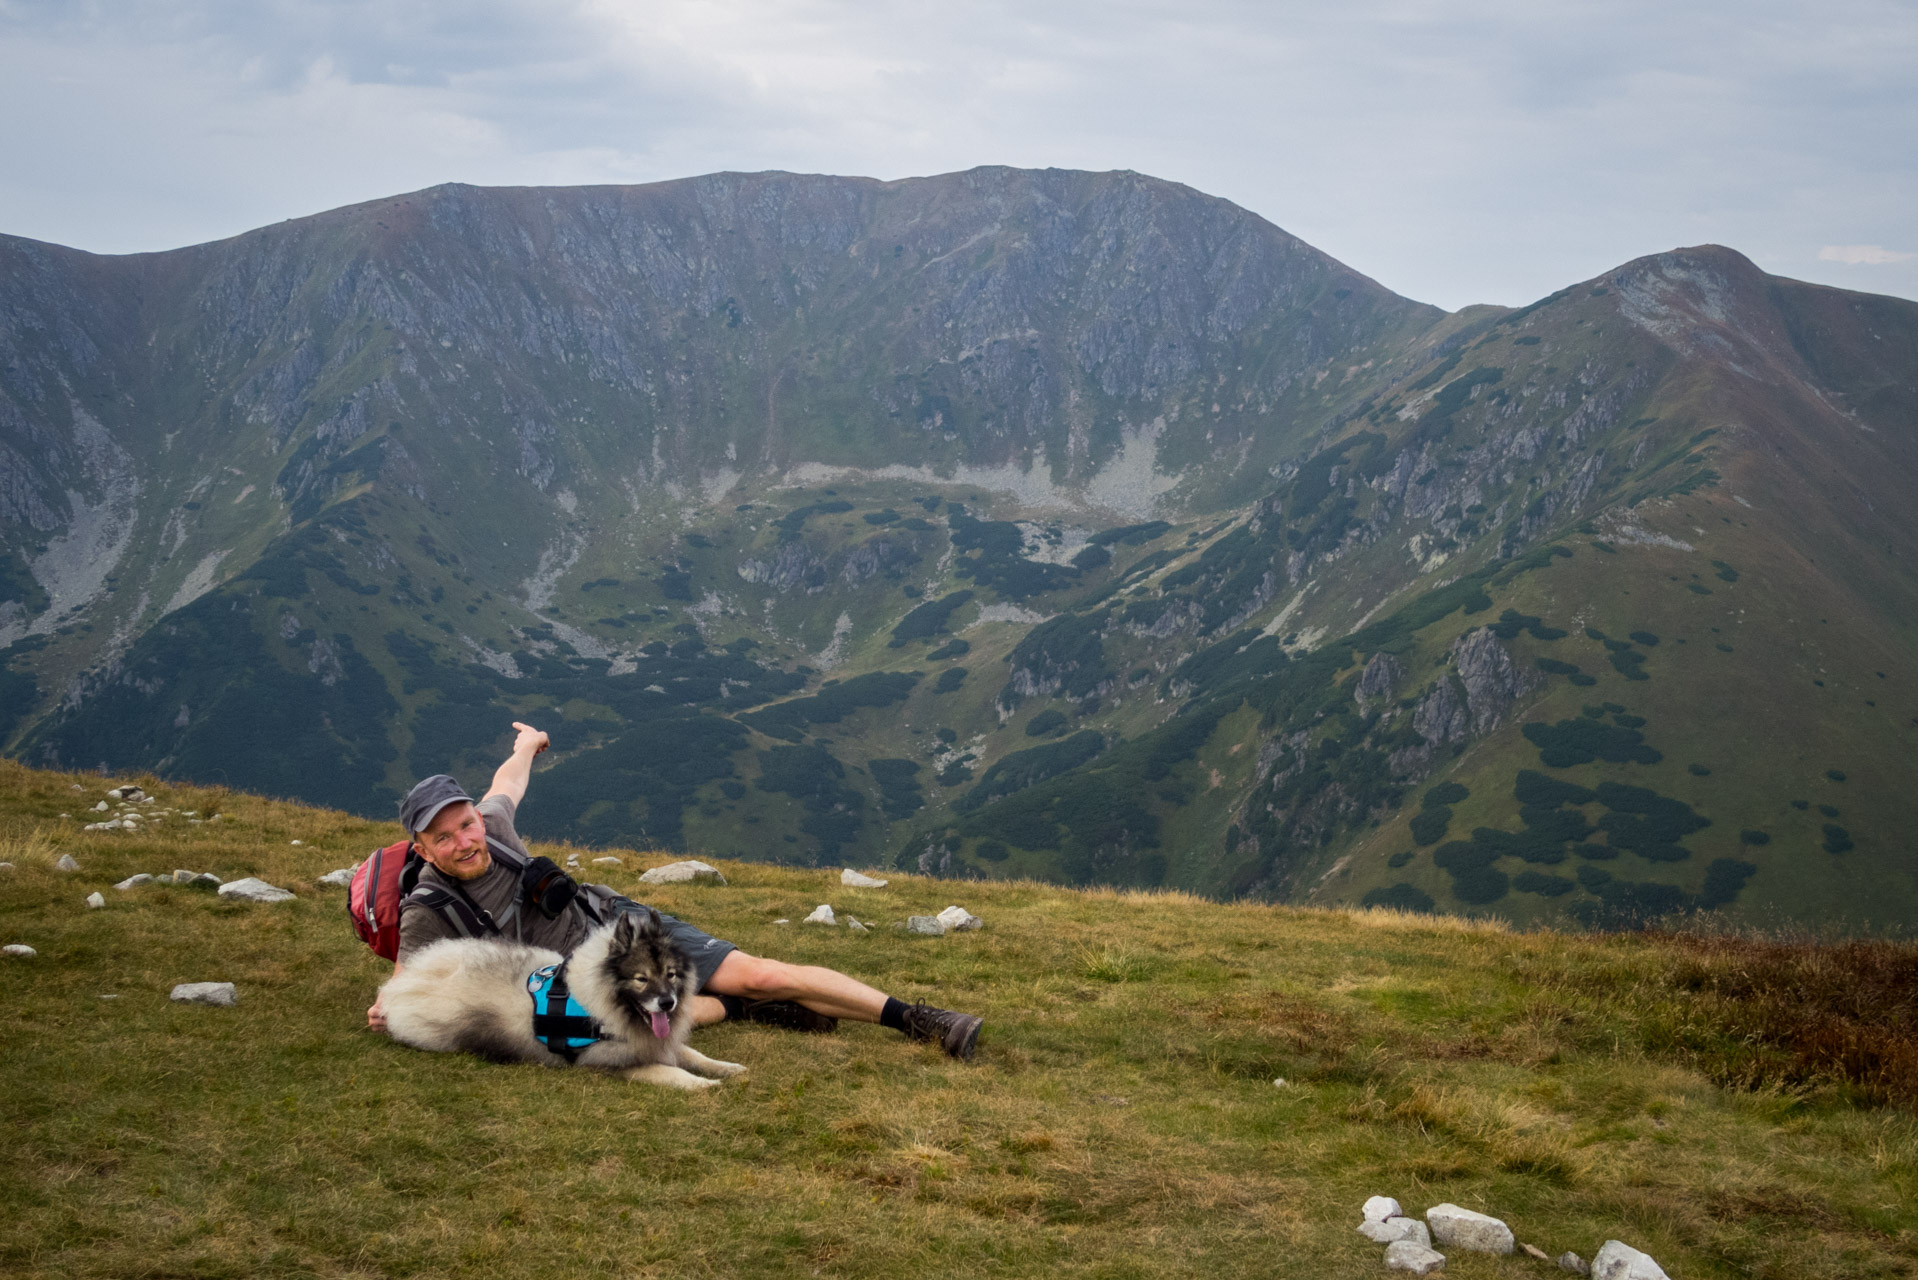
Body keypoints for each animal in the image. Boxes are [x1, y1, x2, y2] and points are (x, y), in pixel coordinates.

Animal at [374, 909, 740, 1090]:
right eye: (641, 979)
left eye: (671, 974)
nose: (667, 1004)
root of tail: (408, 981)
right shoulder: (608, 1062)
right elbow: (672, 1073)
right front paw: (704, 1084)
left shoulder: (660, 1043)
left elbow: (694, 1054)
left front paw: (728, 1067)